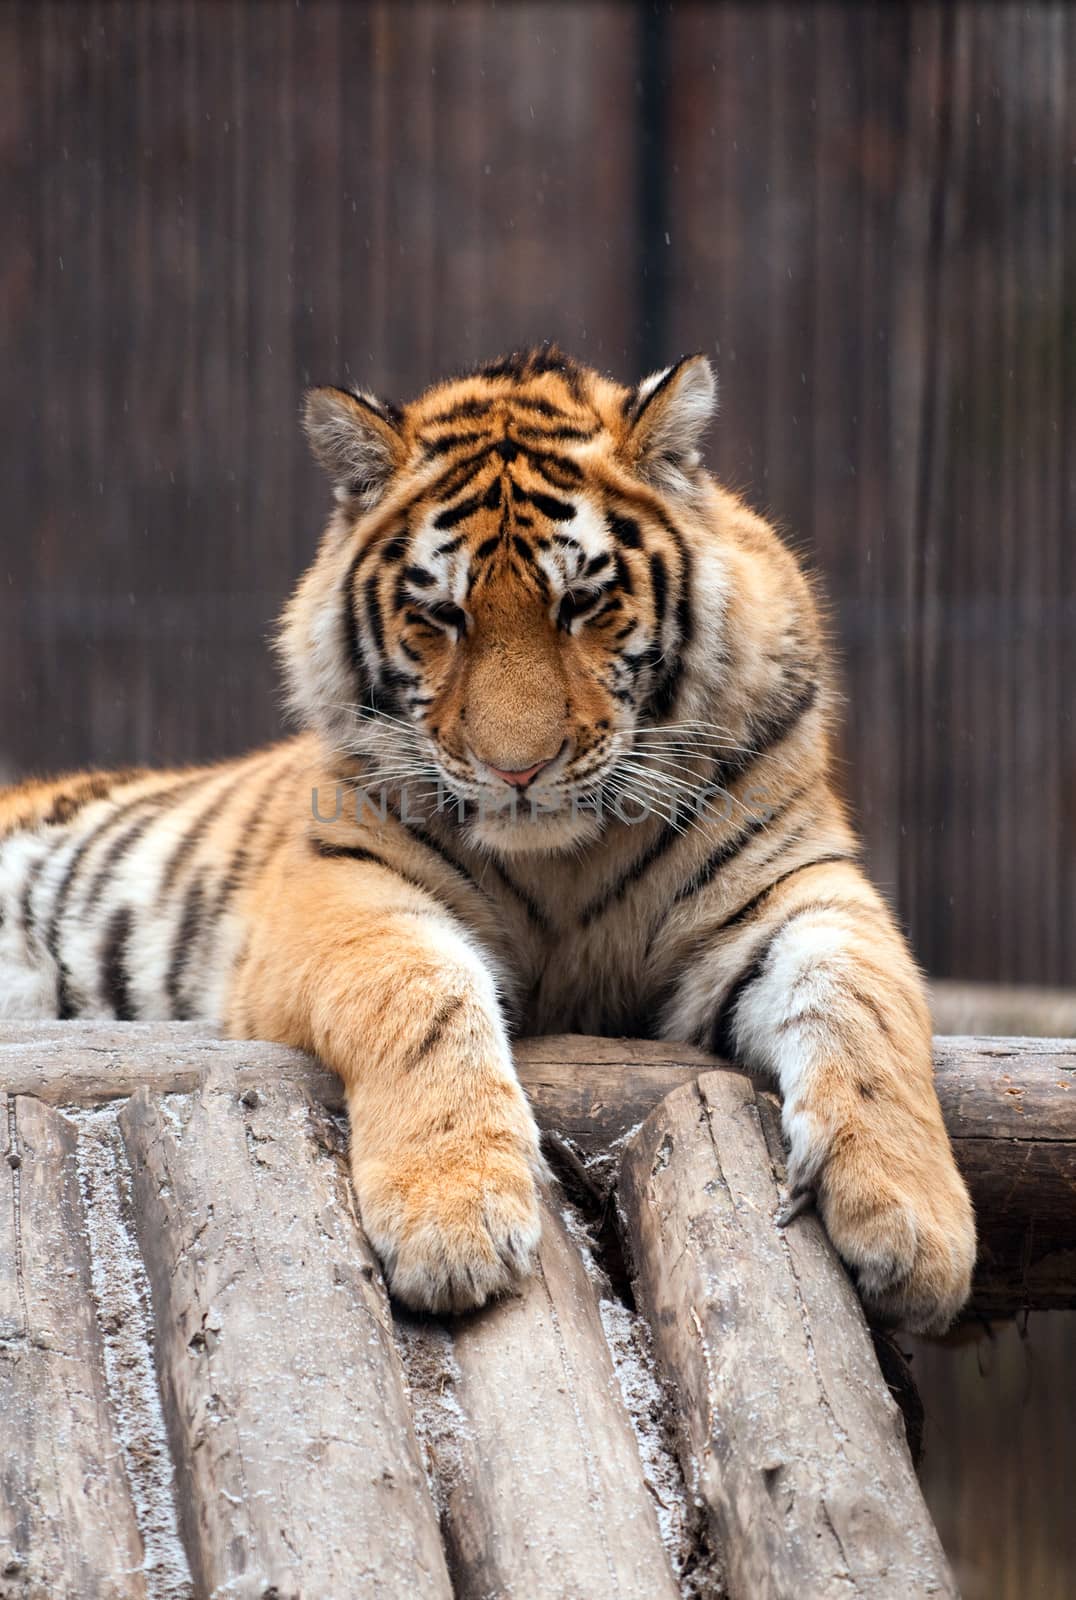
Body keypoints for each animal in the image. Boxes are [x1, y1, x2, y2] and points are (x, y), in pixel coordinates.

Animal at [0, 344, 973, 1331]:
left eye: (583, 603)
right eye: (443, 615)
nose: (517, 770)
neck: (566, 864)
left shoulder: (796, 884)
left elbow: (866, 1001)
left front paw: (916, 1227)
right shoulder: (342, 884)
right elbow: (421, 992)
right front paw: (453, 1217)